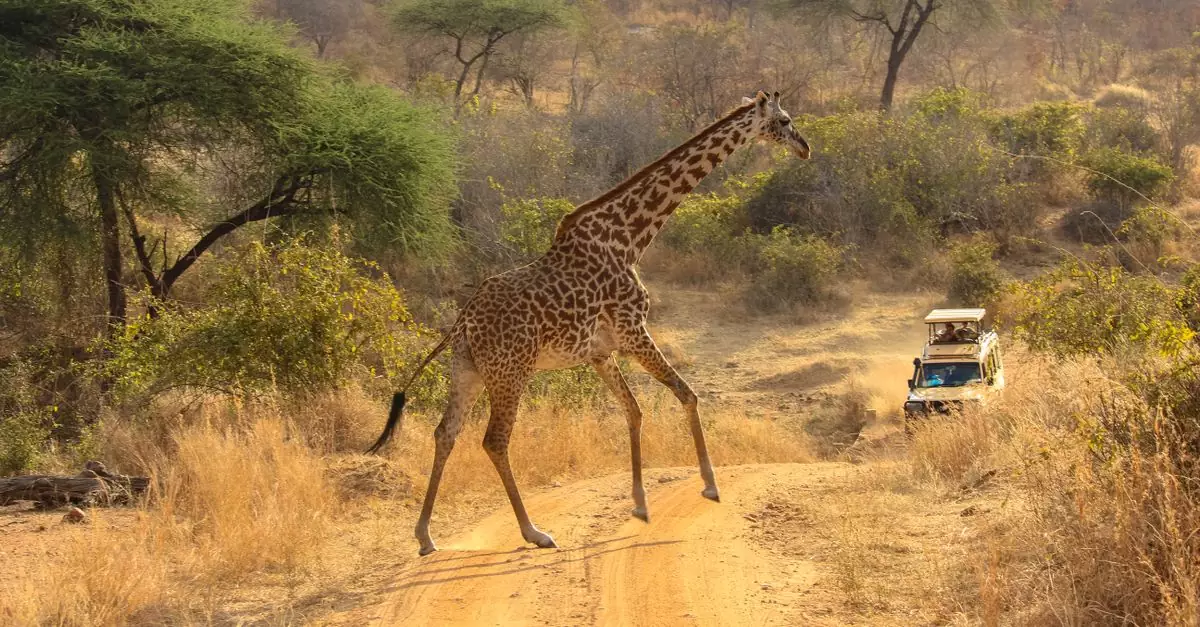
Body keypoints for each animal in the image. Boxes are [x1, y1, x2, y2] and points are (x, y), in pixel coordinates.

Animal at [368, 90, 811, 556]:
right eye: (784, 120)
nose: (805, 147)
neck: (631, 238)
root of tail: (464, 320)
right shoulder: (634, 331)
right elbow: (687, 395)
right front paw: (710, 487)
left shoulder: (601, 352)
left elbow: (633, 411)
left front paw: (641, 506)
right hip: (511, 372)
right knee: (494, 440)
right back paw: (534, 532)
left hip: (467, 369)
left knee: (445, 432)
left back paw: (425, 535)